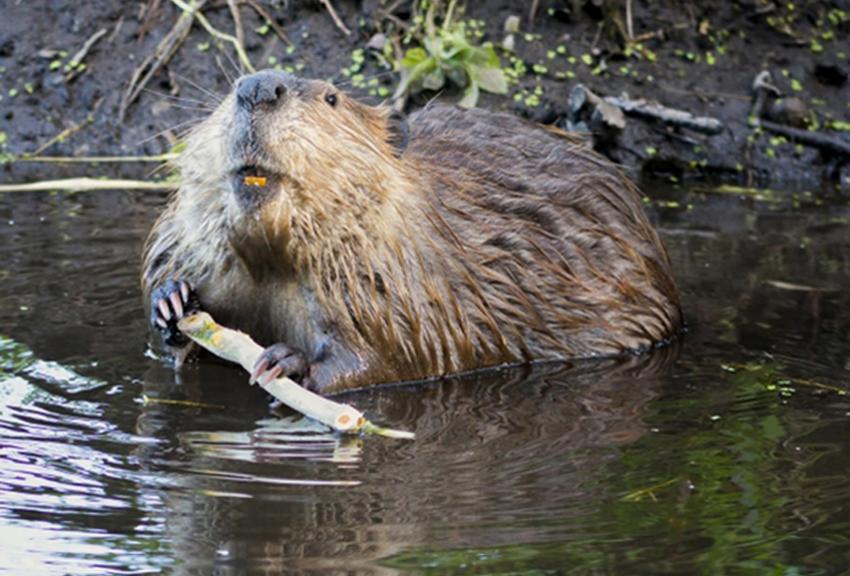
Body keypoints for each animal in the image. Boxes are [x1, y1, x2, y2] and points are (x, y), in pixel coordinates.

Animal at [142, 70, 680, 394]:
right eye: (230, 88)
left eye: (332, 97)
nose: (257, 87)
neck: (273, 258)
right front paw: (173, 301)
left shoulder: (402, 292)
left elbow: (390, 357)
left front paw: (287, 362)